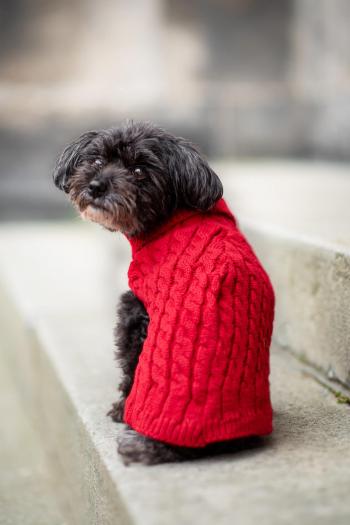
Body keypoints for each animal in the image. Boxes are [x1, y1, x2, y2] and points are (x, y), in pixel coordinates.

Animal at [53, 124, 274, 466]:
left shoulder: (137, 313)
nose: (96, 186)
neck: (171, 218)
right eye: (96, 160)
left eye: (139, 170)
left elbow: (129, 364)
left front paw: (120, 408)